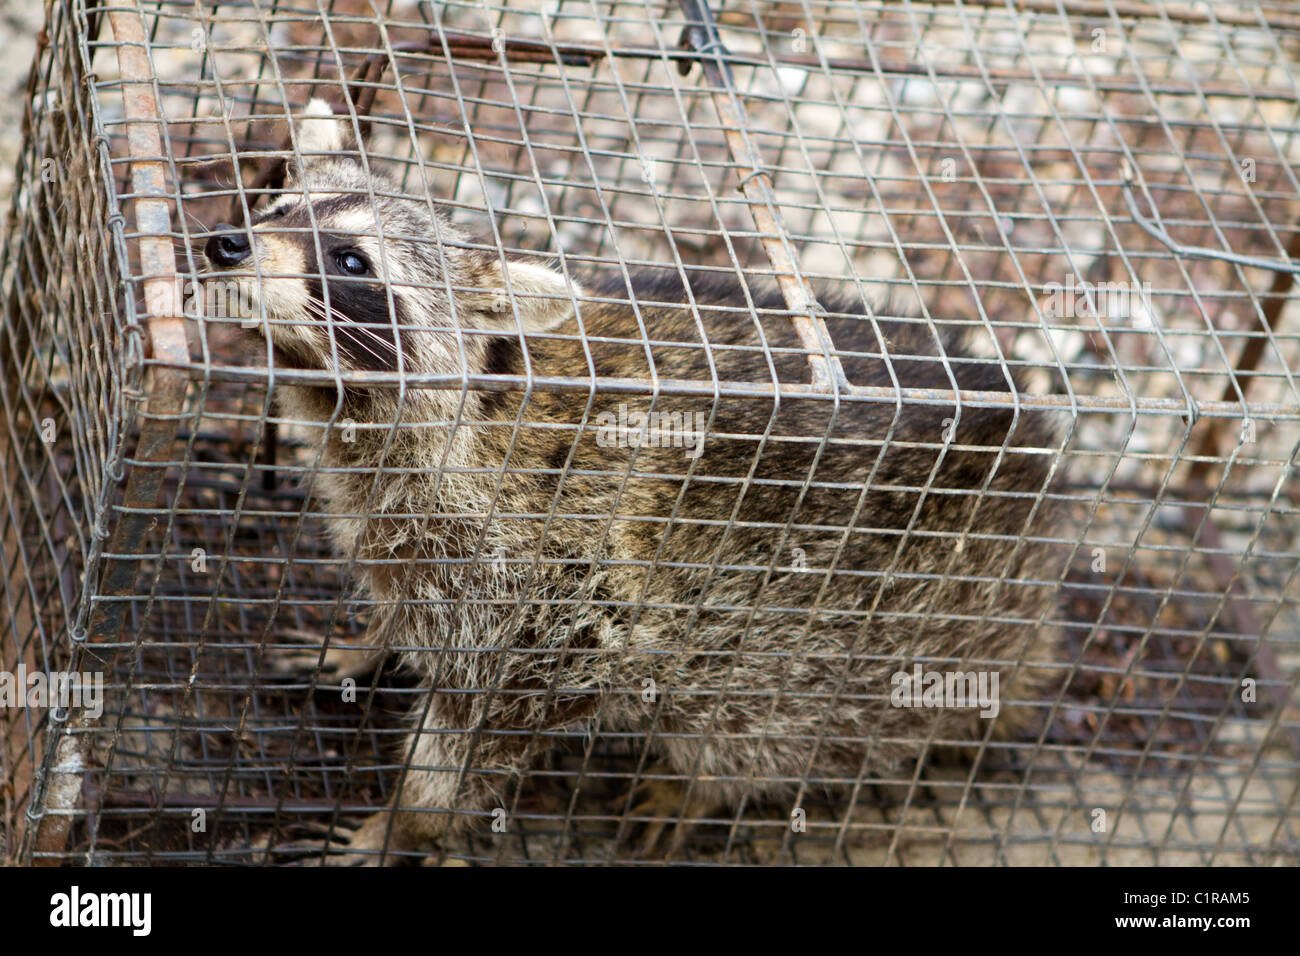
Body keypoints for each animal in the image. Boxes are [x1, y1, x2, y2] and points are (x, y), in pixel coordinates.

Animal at [201, 100, 1064, 864]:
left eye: (351, 262)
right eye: (279, 206)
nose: (226, 243)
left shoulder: (548, 598)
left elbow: (481, 736)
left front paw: (404, 826)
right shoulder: (409, 532)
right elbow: (400, 600)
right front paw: (366, 644)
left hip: (858, 649)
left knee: (766, 730)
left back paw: (700, 786)